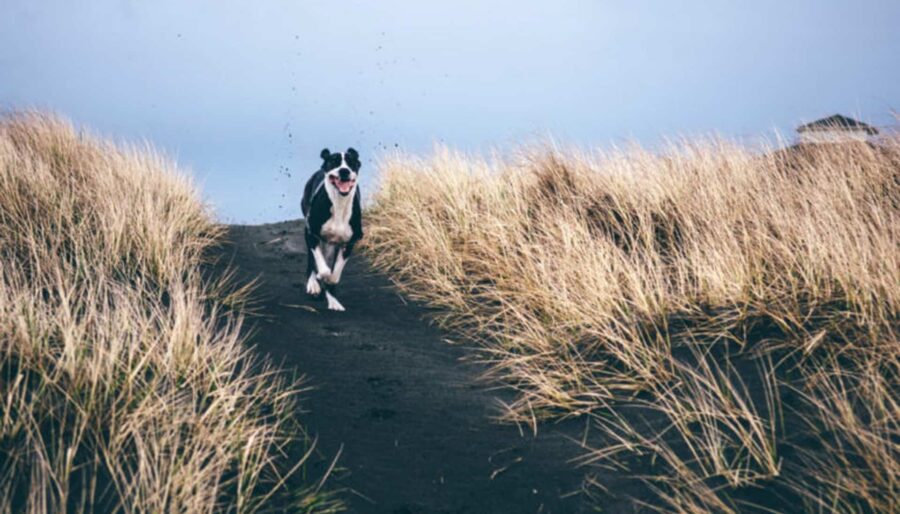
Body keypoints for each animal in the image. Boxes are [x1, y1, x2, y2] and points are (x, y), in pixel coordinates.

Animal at [298, 146, 362, 310]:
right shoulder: (311, 233)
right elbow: (323, 268)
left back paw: (333, 301)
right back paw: (313, 284)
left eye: (351, 162)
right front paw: (319, 278)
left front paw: (331, 294)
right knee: (312, 261)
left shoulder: (349, 243)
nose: (344, 171)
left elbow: (335, 275)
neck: (339, 203)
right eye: (333, 161)